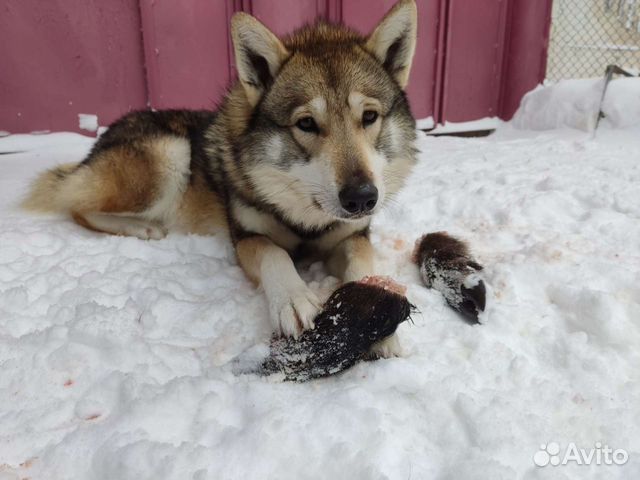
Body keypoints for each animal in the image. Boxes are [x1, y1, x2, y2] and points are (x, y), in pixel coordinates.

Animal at [22, 0, 420, 356]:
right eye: (306, 123)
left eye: (369, 117)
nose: (362, 197)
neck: (305, 217)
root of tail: (102, 139)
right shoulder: (246, 239)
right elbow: (275, 254)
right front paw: (294, 299)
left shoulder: (352, 236)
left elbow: (362, 263)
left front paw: (377, 317)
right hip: (170, 155)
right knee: (75, 204)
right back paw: (143, 228)